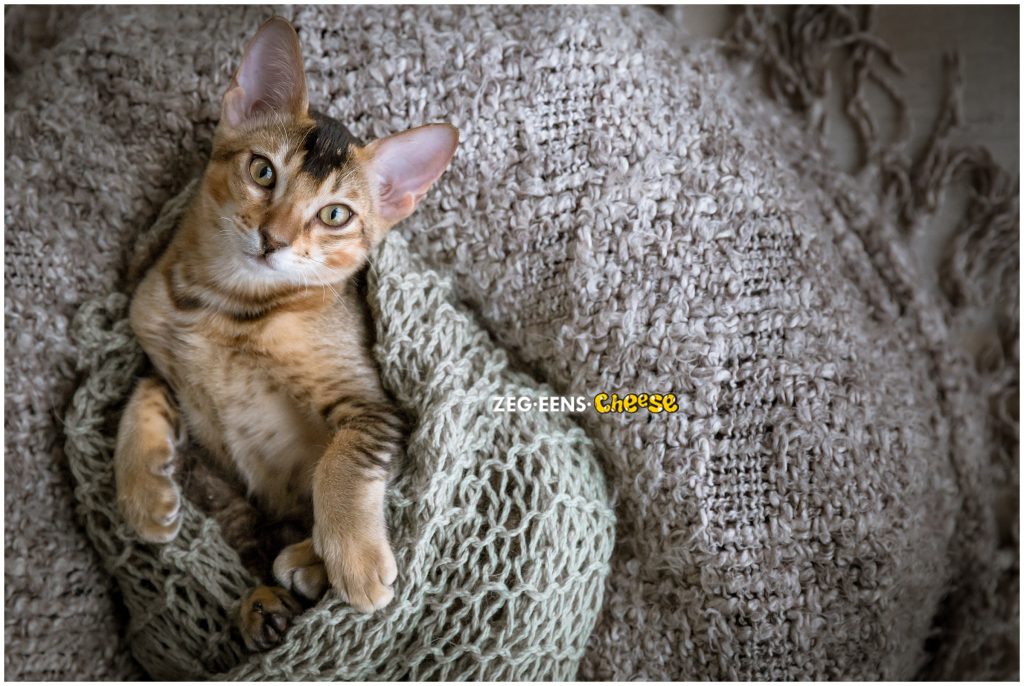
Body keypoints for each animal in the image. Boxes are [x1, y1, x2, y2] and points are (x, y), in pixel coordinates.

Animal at [113, 14, 460, 651]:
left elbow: (341, 463)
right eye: (262, 170)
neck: (227, 306)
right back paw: (261, 604)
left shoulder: (378, 405)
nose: (272, 238)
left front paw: (354, 560)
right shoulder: (161, 356)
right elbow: (142, 389)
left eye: (335, 215)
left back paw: (306, 563)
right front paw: (141, 493)